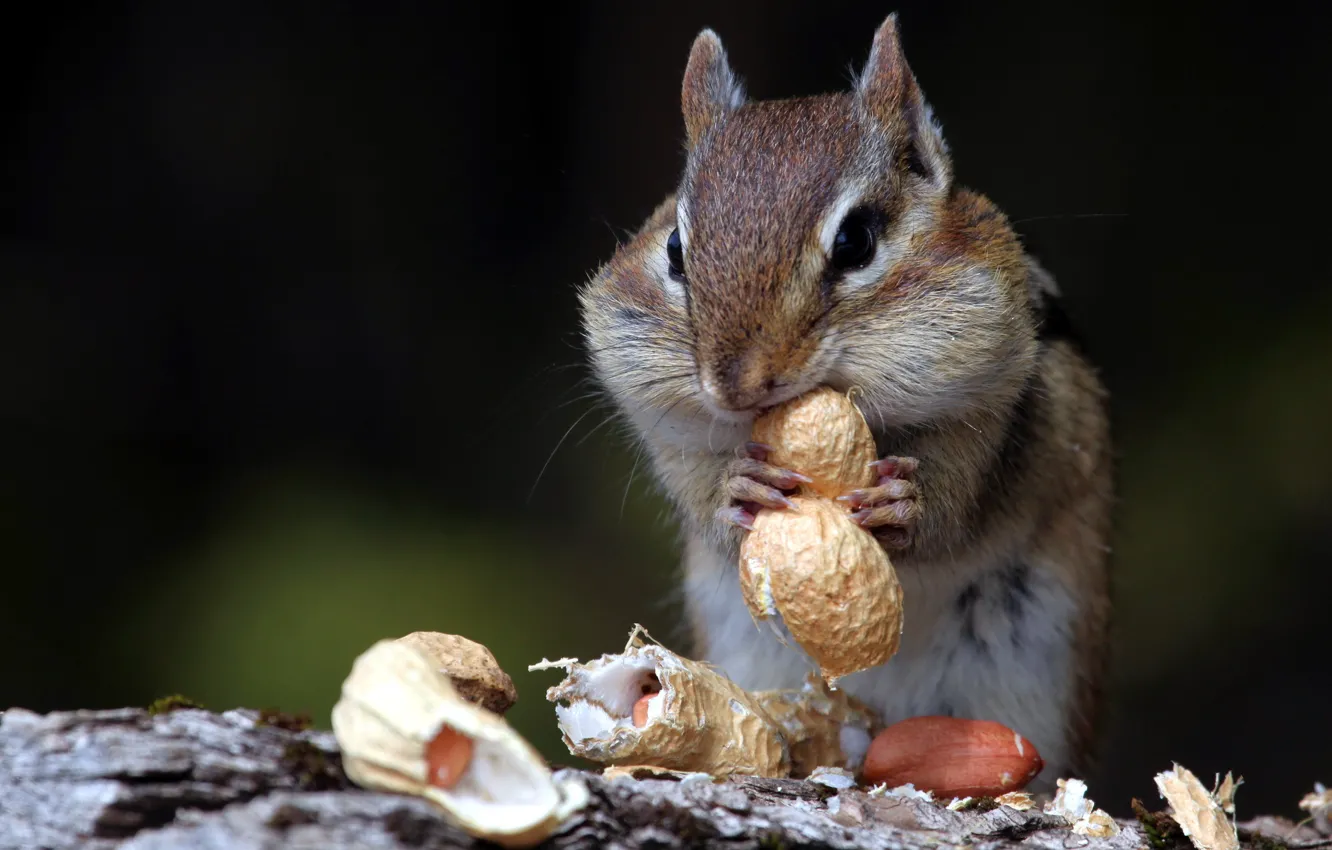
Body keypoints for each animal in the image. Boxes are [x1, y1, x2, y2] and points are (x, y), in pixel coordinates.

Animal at [578, 14, 1113, 786]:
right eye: (676, 248)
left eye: (856, 240)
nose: (736, 385)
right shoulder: (669, 429)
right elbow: (700, 487)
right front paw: (738, 487)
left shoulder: (1003, 407)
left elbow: (964, 499)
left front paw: (904, 504)